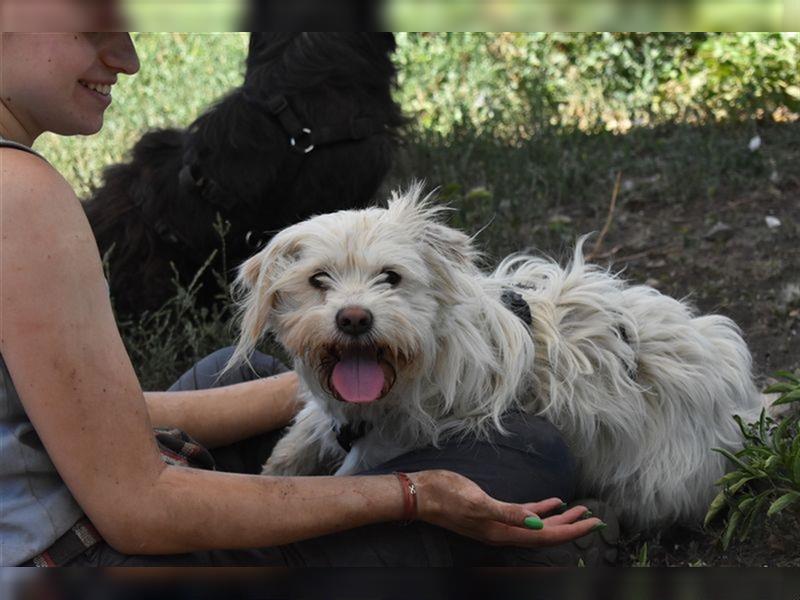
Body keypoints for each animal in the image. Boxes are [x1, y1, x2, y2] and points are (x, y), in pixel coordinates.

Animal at [230, 184, 764, 528]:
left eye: (391, 277)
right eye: (318, 279)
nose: (354, 319)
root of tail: (749, 403)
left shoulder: (384, 447)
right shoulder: (334, 418)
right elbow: (295, 445)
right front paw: (269, 474)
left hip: (656, 478)